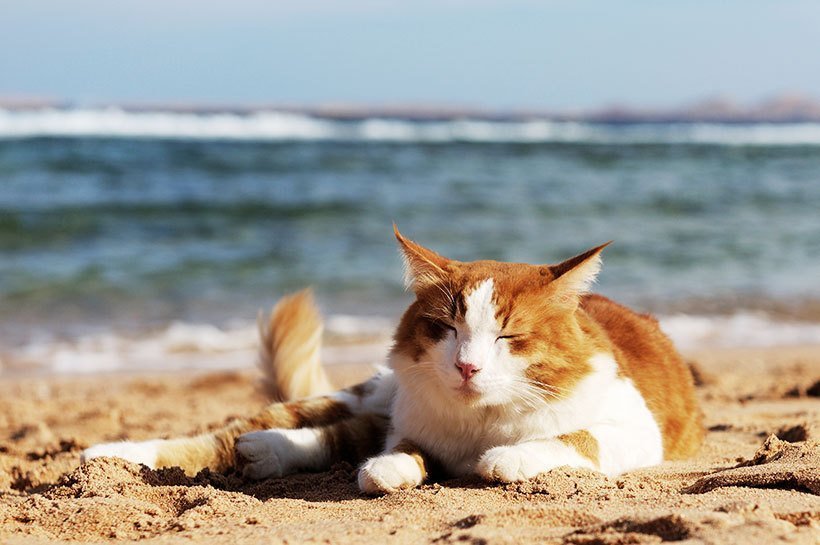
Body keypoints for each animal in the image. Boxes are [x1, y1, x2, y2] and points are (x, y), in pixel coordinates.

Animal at [83, 225, 700, 492]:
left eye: (507, 338)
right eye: (447, 329)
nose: (468, 367)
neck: (479, 422)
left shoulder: (635, 428)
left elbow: (572, 438)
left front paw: (506, 458)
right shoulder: (409, 423)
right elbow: (401, 449)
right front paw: (392, 468)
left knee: (333, 436)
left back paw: (269, 456)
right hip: (367, 393)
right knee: (246, 432)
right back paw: (110, 456)